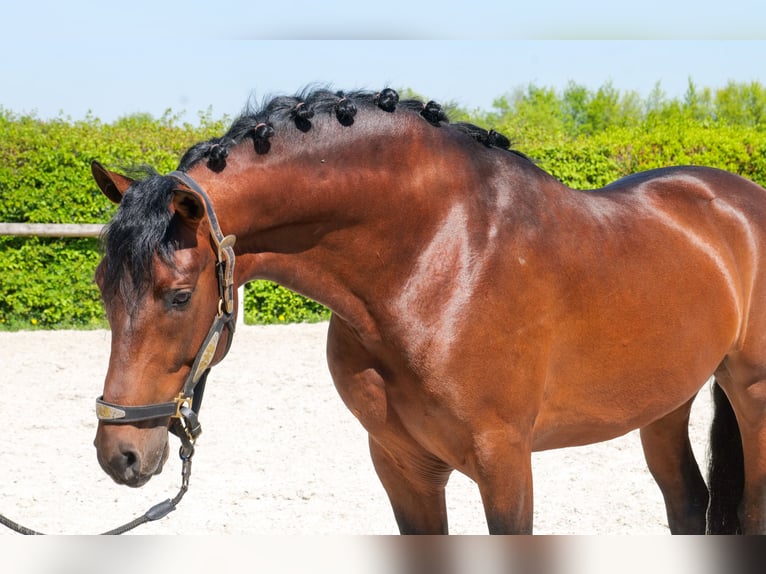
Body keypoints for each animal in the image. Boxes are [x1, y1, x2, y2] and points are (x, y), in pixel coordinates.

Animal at [91, 87, 766, 534]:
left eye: (179, 295)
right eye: (101, 287)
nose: (119, 453)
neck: (435, 262)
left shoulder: (504, 462)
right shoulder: (401, 465)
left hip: (750, 394)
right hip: (665, 401)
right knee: (688, 504)